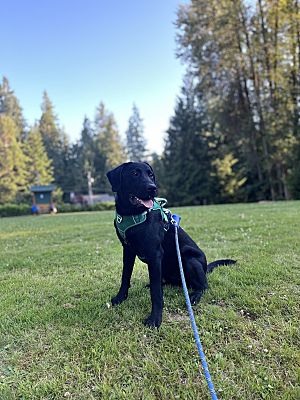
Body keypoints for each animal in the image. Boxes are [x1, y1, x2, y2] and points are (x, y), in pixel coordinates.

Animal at [106, 162, 236, 328]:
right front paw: (120, 298)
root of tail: (206, 268)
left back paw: (195, 295)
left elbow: (156, 293)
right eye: (134, 173)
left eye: (151, 175)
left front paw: (155, 318)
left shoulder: (155, 255)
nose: (152, 188)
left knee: (203, 285)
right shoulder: (128, 251)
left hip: (189, 258)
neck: (133, 214)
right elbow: (125, 277)